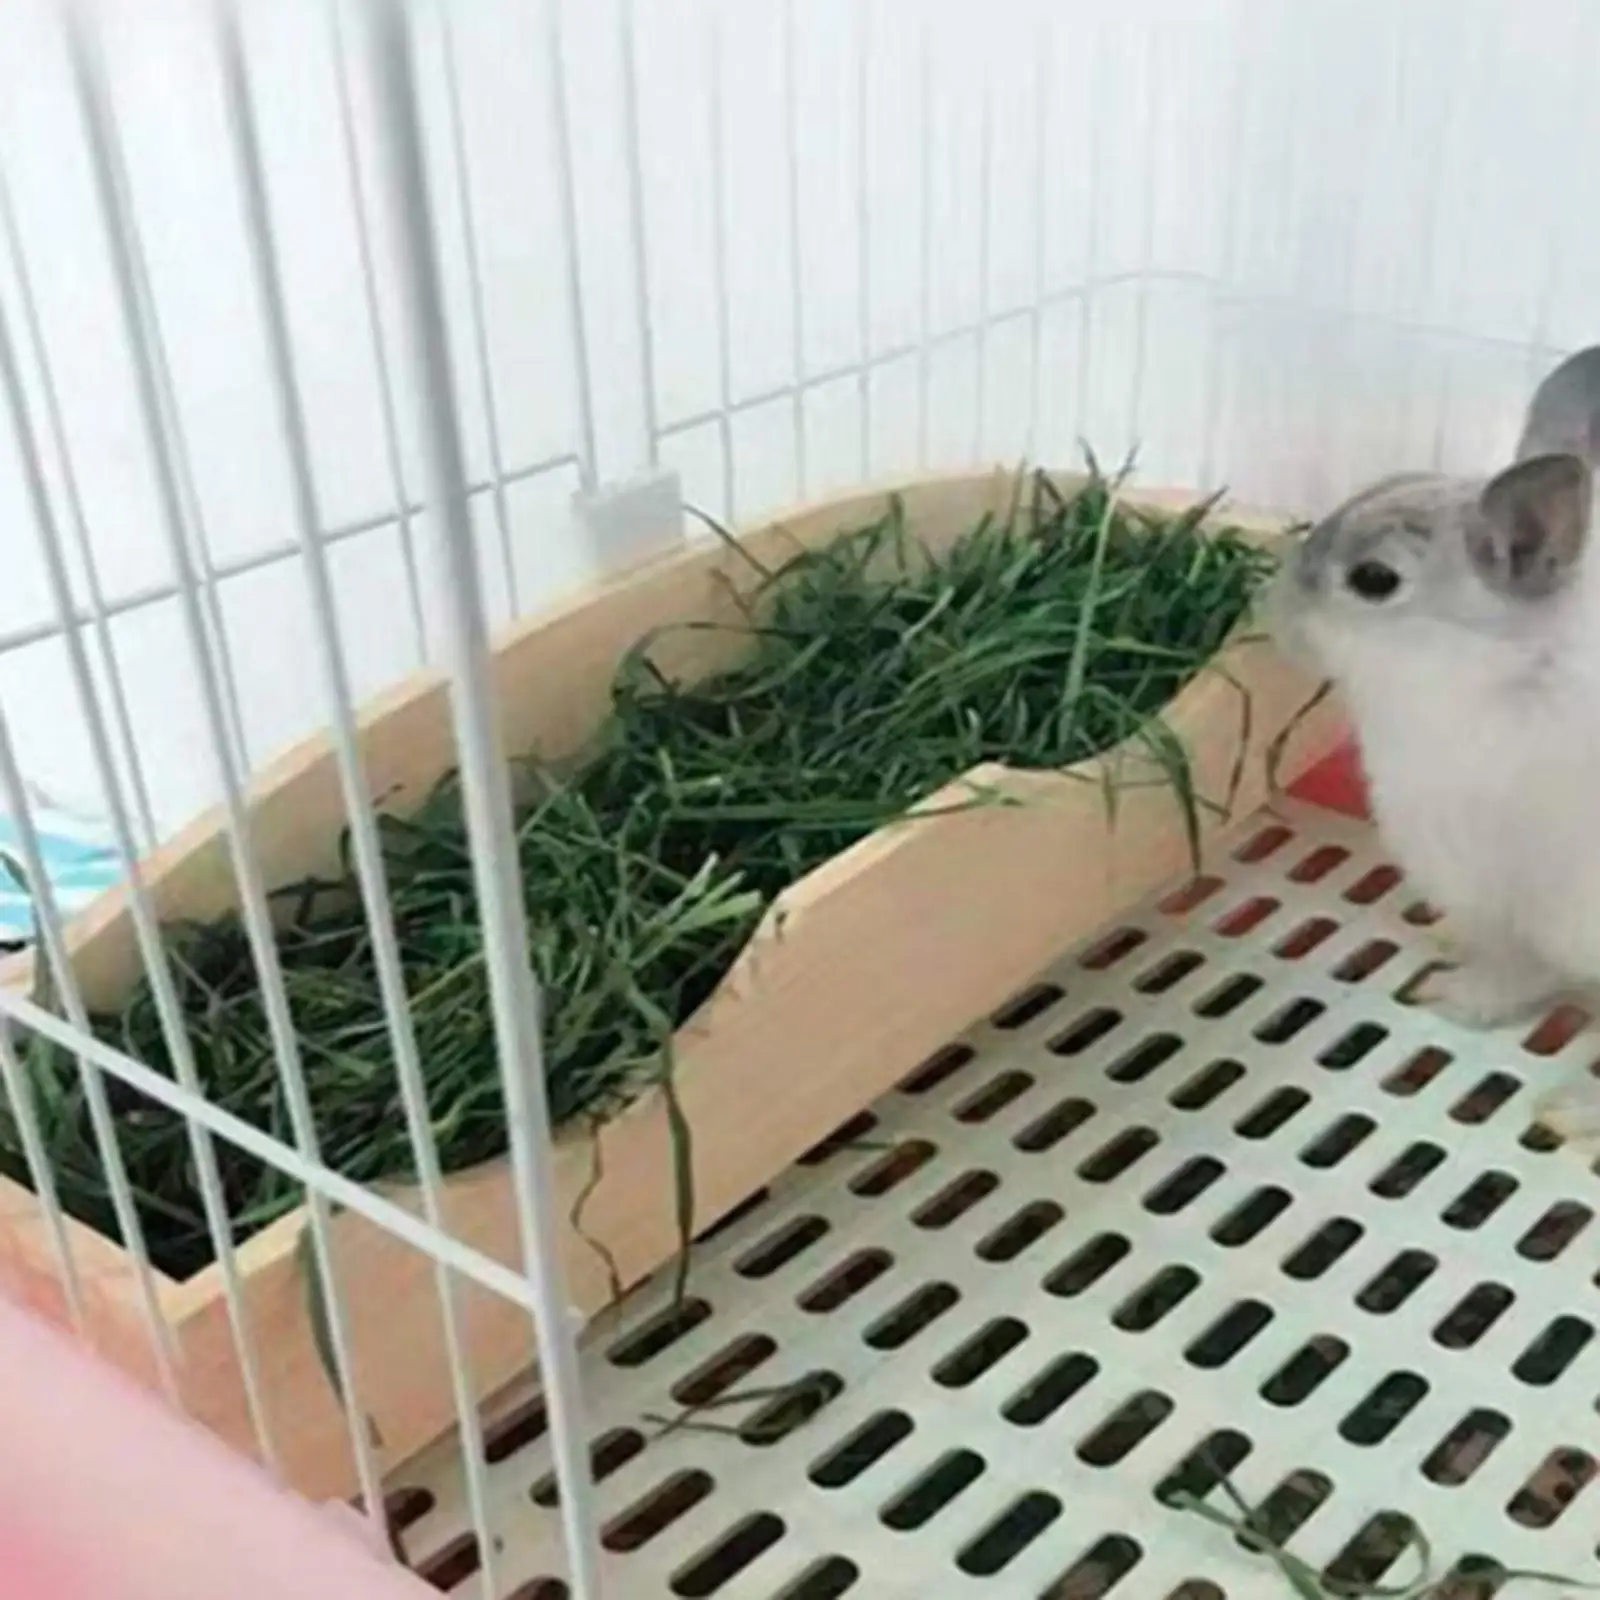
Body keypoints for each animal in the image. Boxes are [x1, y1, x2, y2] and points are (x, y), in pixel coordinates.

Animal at [1267, 347, 1600, 1134]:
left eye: (1374, 579)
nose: (1274, 611)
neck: (1506, 673)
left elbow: (1519, 977)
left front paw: (1446, 995)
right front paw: (1447, 958)